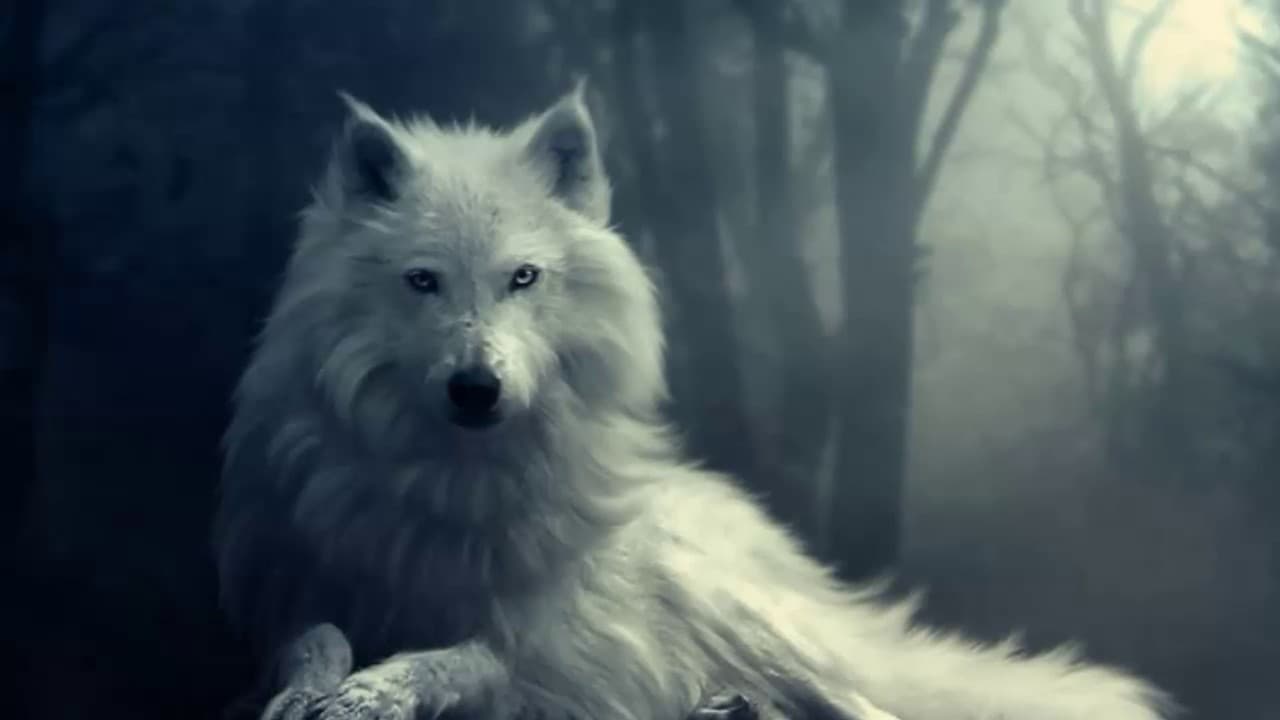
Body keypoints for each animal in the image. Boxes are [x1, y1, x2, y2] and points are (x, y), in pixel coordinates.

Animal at [212, 85, 1175, 720]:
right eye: (423, 281)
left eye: (524, 278)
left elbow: (464, 660)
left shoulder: (546, 649)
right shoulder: (284, 600)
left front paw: (377, 691)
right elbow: (314, 641)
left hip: (751, 624)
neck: (455, 486)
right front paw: (320, 689)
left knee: (868, 708)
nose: (477, 388)